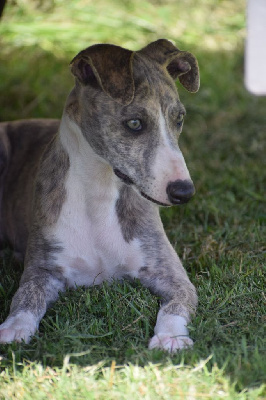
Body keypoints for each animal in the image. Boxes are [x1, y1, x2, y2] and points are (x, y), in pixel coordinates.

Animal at [0, 39, 200, 354]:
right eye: (134, 123)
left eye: (179, 118)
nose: (184, 192)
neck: (99, 192)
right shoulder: (43, 269)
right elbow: (25, 297)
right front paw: (14, 328)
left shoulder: (170, 273)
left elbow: (177, 303)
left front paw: (171, 337)